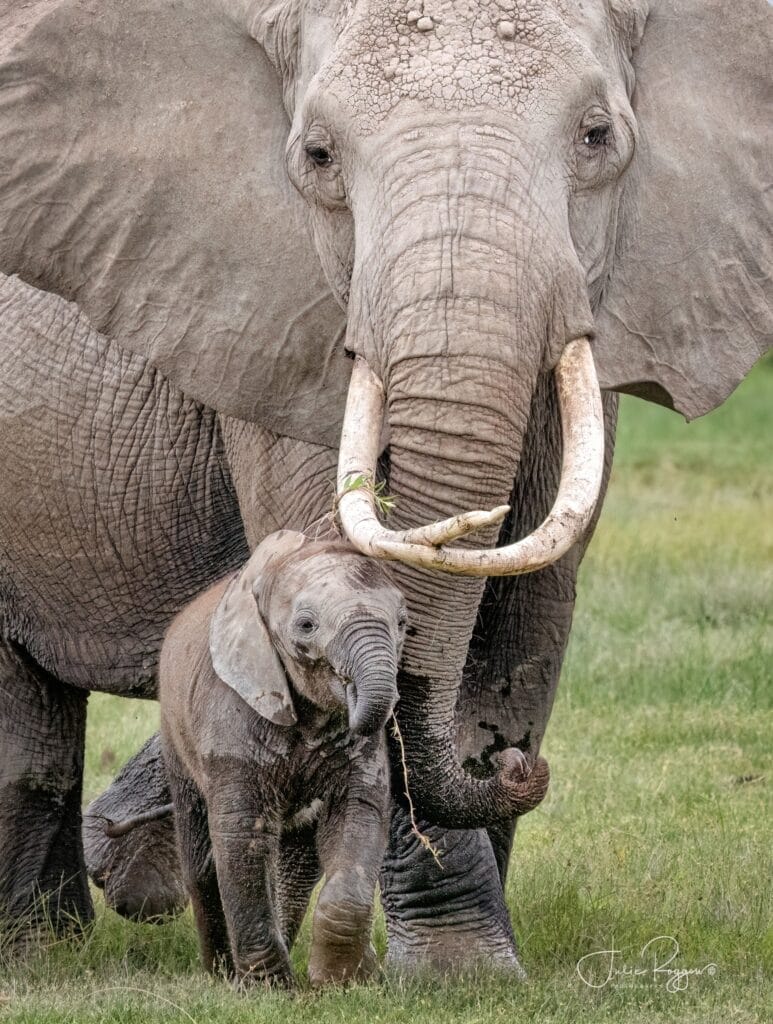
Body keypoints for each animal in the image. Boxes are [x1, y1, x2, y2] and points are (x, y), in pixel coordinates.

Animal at [0, 0, 769, 971]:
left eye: (597, 137)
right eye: (318, 156)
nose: (511, 766)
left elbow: (526, 623)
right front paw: (452, 971)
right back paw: (37, 950)